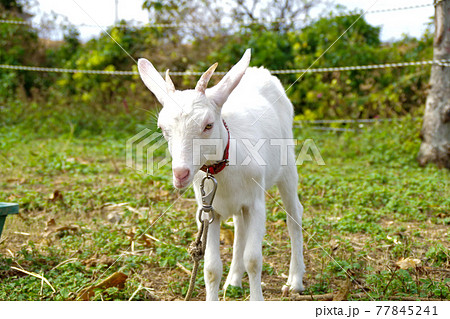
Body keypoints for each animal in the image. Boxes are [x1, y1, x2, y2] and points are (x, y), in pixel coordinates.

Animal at [137, 48, 306, 302]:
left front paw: (257, 299)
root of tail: (259, 70)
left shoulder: (256, 204)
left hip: (287, 168)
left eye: (208, 125)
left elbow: (253, 260)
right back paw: (234, 280)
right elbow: (211, 268)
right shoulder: (209, 211)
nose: (180, 174)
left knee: (294, 215)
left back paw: (294, 281)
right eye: (162, 129)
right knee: (239, 228)